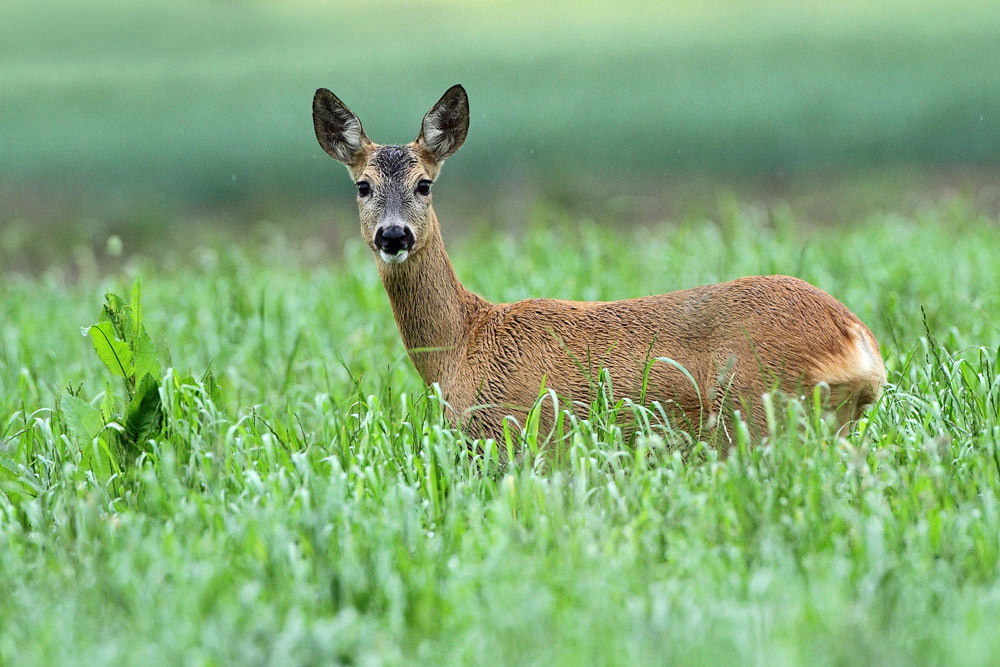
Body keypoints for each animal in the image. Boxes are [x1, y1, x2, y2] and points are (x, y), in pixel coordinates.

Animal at [310, 85, 884, 448]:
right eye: (362, 186)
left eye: (425, 184)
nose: (393, 235)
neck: (462, 346)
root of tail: (857, 340)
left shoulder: (515, 438)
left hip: (764, 411)